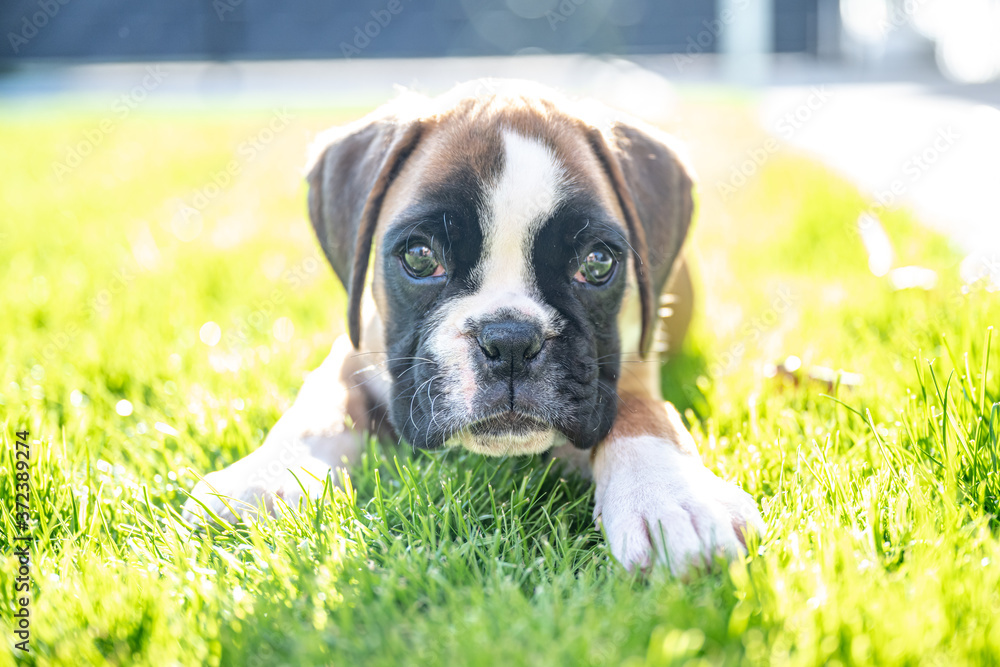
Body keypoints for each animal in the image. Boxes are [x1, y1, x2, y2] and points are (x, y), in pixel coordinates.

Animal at [184, 81, 760, 576]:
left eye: (597, 263)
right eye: (419, 256)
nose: (510, 341)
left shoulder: (628, 362)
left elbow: (642, 413)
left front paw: (670, 498)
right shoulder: (352, 351)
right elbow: (315, 410)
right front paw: (261, 479)